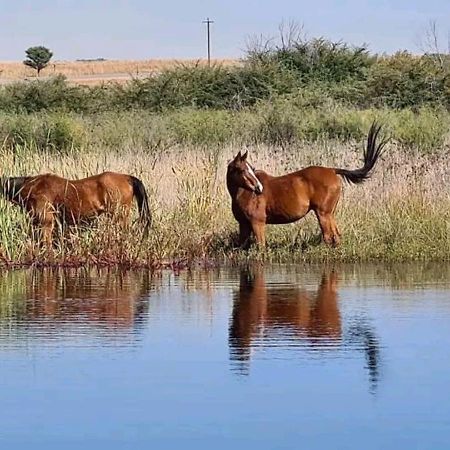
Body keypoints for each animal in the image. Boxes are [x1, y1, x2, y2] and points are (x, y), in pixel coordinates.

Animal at [227, 123, 384, 248]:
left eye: (251, 169)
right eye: (242, 170)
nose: (259, 188)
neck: (244, 193)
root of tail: (332, 170)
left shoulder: (257, 223)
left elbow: (261, 247)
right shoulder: (243, 225)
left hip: (323, 213)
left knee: (328, 236)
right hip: (330, 213)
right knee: (336, 236)